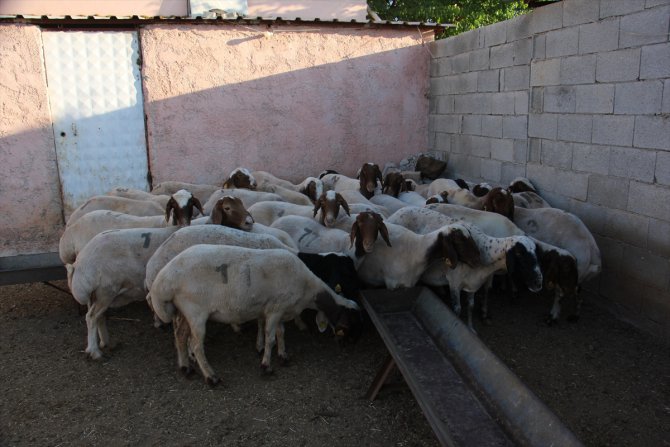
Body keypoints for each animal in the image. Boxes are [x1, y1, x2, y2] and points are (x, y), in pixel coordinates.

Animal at [147, 245, 360, 384]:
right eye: (352, 322)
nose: (351, 344)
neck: (307, 289)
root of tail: (164, 279)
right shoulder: (275, 309)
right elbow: (270, 338)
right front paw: (266, 365)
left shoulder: (279, 309)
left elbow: (281, 333)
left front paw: (283, 355)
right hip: (196, 310)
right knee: (197, 345)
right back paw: (211, 377)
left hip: (183, 309)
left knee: (180, 337)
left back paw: (185, 368)